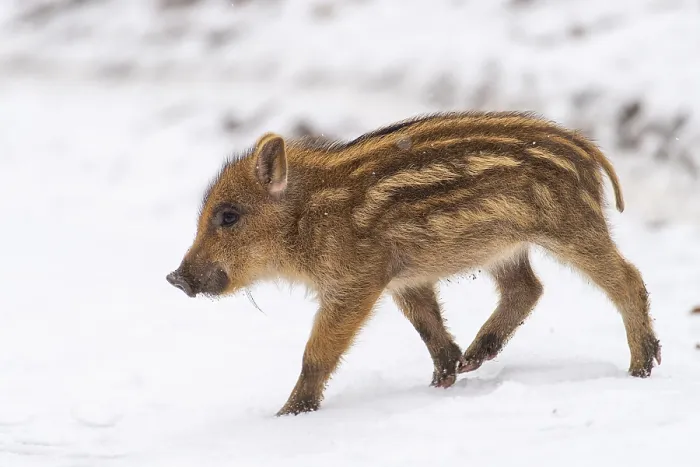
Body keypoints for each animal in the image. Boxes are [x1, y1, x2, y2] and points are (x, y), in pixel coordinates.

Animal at [167, 111, 660, 416]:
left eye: (229, 215)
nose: (175, 277)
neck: (308, 215)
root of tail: (584, 148)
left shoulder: (357, 280)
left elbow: (317, 352)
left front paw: (288, 414)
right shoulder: (403, 277)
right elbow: (427, 325)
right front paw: (443, 379)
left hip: (570, 228)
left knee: (627, 278)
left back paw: (641, 367)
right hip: (505, 247)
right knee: (526, 287)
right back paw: (473, 360)